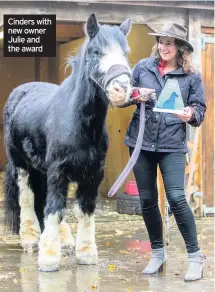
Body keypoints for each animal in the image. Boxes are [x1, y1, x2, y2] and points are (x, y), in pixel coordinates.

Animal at [2, 14, 133, 272]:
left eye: (126, 52)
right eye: (95, 51)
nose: (121, 89)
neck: (77, 122)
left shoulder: (93, 174)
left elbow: (84, 211)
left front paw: (86, 253)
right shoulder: (58, 171)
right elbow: (54, 208)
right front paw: (49, 258)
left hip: (41, 169)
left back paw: (63, 239)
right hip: (22, 165)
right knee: (28, 198)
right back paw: (31, 239)